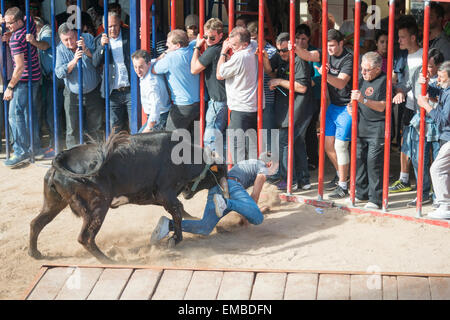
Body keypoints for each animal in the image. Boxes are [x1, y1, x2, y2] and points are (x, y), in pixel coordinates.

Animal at [29, 131, 229, 264]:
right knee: (85, 237)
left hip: (54, 203)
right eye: (216, 174)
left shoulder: (160, 197)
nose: (188, 193)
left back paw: (35, 253)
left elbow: (179, 212)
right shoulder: (166, 193)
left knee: (36, 223)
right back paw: (108, 261)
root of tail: (61, 157)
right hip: (97, 207)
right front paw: (175, 239)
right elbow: (178, 211)